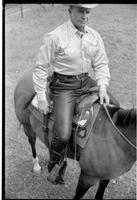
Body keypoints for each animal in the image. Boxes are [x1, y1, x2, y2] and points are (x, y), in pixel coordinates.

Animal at [13, 70, 136, 198]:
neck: (113, 136)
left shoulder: (107, 175)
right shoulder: (87, 178)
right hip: (27, 125)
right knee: (32, 142)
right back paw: (37, 166)